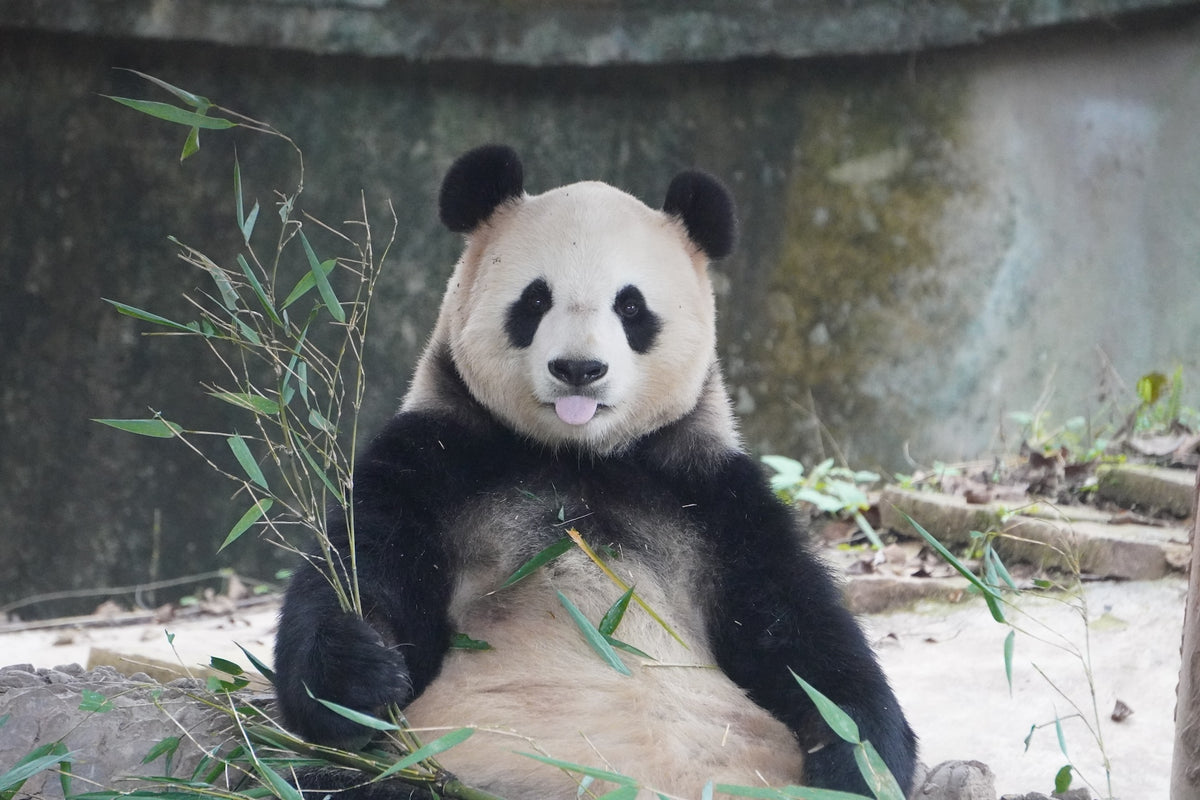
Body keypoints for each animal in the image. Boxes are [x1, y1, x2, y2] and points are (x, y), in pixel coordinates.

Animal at [273, 144, 918, 798]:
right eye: (535, 301)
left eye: (630, 306)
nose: (578, 369)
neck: (577, 457)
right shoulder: (437, 461)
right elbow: (363, 566)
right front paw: (360, 674)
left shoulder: (712, 498)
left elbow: (800, 634)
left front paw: (858, 757)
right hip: (440, 773)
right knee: (335, 780)